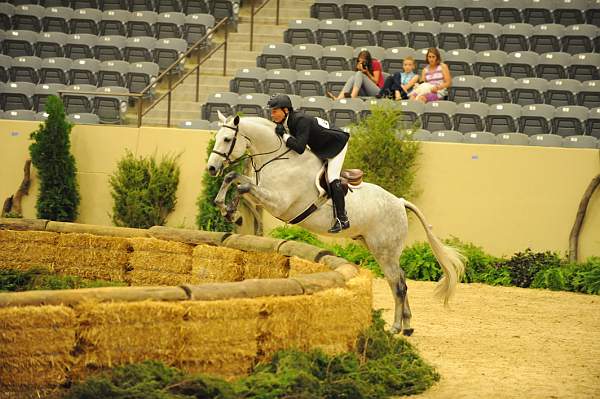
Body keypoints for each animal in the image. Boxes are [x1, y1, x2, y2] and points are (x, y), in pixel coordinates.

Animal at [206, 112, 464, 338]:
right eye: (218, 137)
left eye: (227, 139)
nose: (211, 168)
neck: (279, 159)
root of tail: (399, 202)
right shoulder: (263, 192)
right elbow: (234, 178)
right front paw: (226, 208)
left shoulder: (279, 203)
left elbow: (243, 186)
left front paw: (232, 213)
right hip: (377, 248)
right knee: (398, 280)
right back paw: (407, 326)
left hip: (385, 250)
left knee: (398, 283)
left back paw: (395, 328)